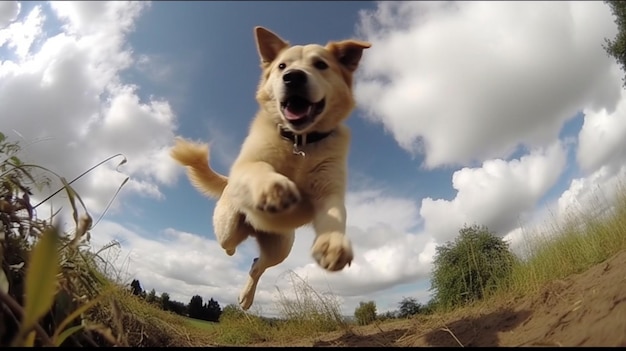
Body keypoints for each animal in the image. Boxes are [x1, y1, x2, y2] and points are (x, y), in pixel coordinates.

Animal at [168, 26, 368, 310]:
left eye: (321, 64)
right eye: (282, 66)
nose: (293, 77)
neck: (299, 143)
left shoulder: (329, 191)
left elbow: (335, 215)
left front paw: (332, 244)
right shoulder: (248, 164)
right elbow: (260, 167)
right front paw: (273, 188)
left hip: (280, 247)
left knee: (257, 264)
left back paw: (246, 296)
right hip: (227, 227)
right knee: (230, 245)